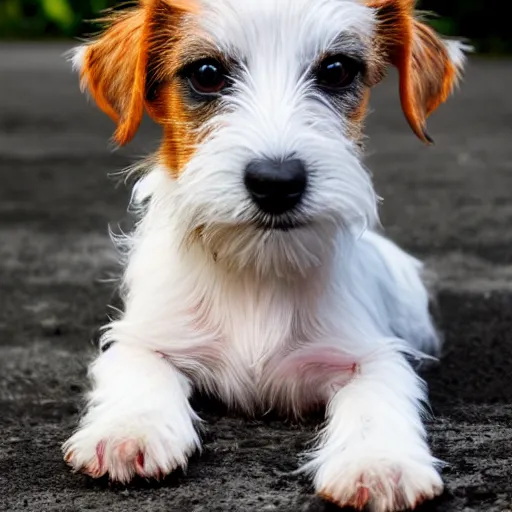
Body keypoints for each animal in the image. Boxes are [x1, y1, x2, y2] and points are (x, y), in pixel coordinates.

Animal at [62, 2, 470, 510]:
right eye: (207, 73)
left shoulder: (370, 353)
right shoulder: (145, 336)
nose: (277, 182)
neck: (258, 268)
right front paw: (129, 430)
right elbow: (138, 370)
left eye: (337, 70)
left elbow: (378, 395)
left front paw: (378, 462)